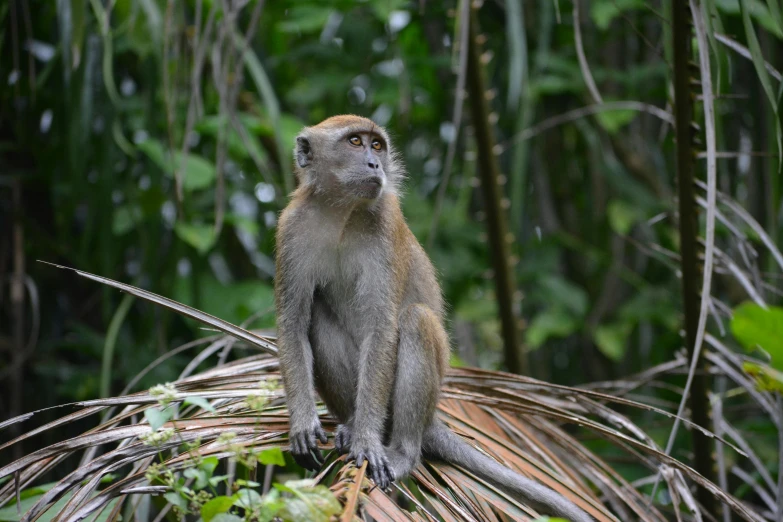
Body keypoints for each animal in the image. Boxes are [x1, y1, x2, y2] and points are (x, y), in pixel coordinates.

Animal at [276, 115, 596, 520]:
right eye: (354, 142)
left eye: (376, 145)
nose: (375, 165)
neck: (340, 212)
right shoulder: (292, 229)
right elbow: (293, 324)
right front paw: (303, 422)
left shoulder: (384, 227)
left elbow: (382, 329)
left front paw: (367, 441)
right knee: (317, 312)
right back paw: (350, 424)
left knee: (416, 320)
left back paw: (401, 450)